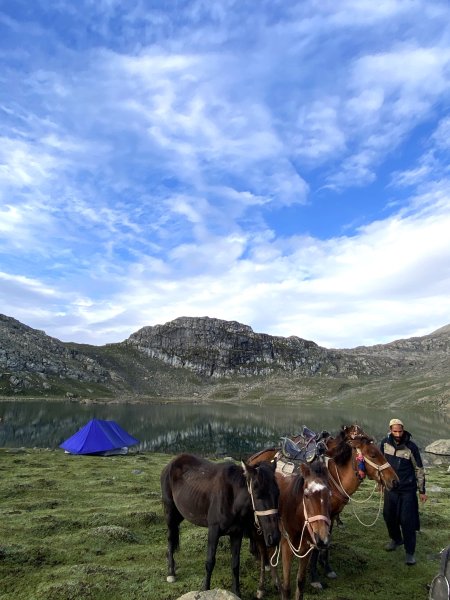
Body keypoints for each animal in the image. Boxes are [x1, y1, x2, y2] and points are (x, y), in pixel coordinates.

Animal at [162, 452, 280, 596]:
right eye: (258, 494)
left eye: (278, 493)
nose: (274, 537)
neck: (232, 499)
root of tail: (172, 463)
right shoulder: (214, 531)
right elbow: (210, 562)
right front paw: (205, 589)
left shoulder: (236, 533)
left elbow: (235, 563)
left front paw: (236, 592)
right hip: (170, 513)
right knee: (170, 538)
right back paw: (171, 572)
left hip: (180, 514)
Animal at [248, 424, 400, 592]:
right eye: (373, 455)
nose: (395, 481)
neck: (333, 478)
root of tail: (253, 458)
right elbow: (316, 548)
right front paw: (315, 577)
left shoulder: (331, 516)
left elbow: (327, 544)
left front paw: (327, 568)